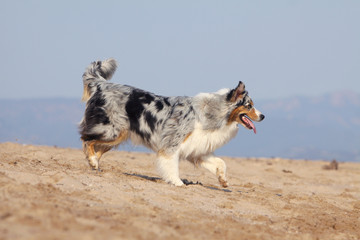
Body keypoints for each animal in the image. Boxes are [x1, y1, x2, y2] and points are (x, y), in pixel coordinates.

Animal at [79, 58, 264, 188]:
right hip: (112, 131)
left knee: (95, 147)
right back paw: (93, 161)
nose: (263, 116)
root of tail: (102, 85)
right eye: (249, 105)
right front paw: (177, 182)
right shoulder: (171, 144)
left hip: (117, 135)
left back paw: (95, 165)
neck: (213, 112)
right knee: (86, 139)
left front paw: (223, 180)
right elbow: (172, 165)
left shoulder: (198, 149)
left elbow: (221, 163)